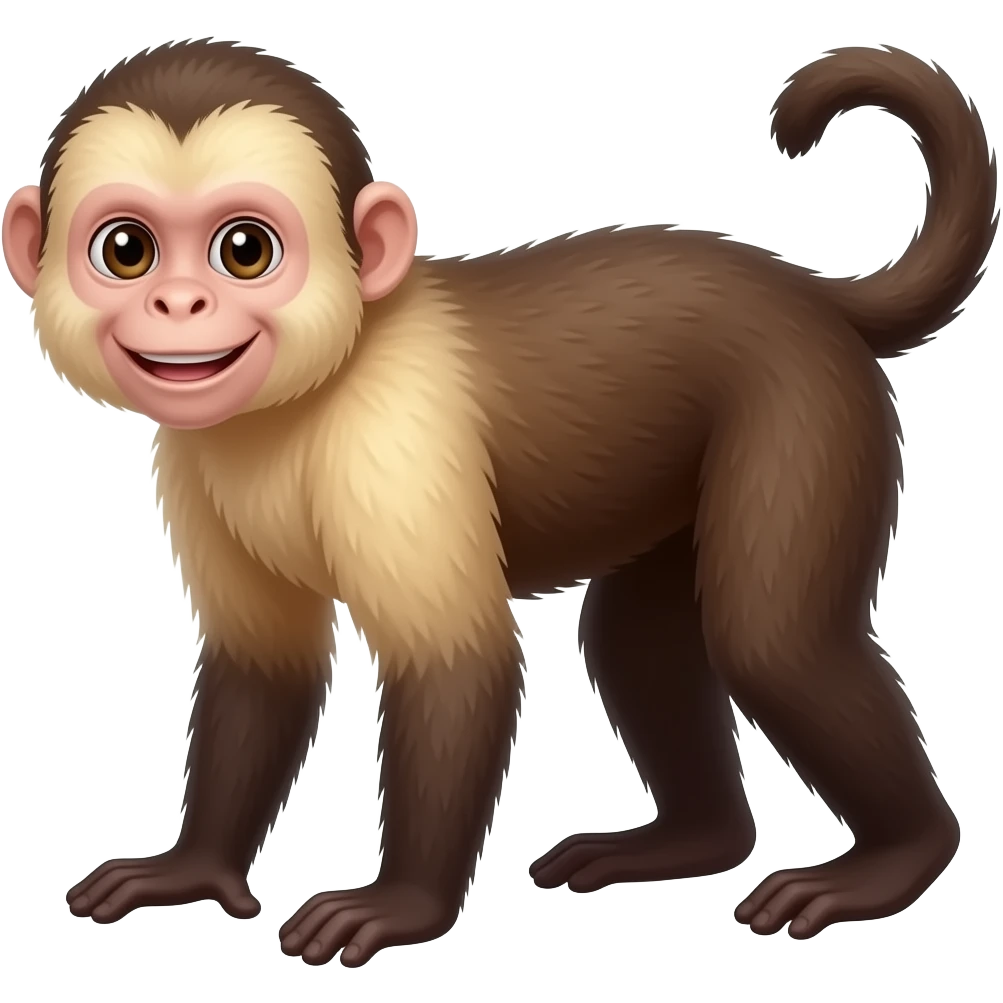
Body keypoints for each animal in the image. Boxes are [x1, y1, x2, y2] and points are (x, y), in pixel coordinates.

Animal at [3, 38, 995, 966]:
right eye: (126, 250)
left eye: (244, 249)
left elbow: (458, 662)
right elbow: (262, 668)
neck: (303, 395)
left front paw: (401, 904)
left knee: (773, 642)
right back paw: (691, 840)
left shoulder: (392, 436)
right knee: (635, 639)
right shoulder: (188, 457)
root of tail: (809, 293)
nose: (180, 303)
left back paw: (897, 857)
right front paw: (195, 868)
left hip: (805, 407)